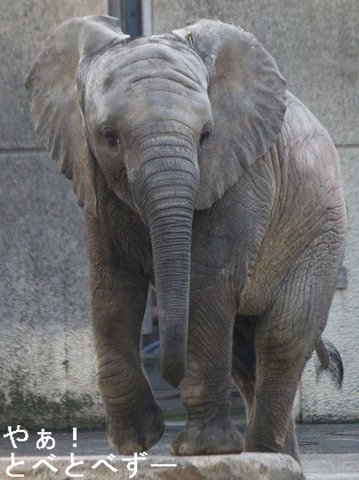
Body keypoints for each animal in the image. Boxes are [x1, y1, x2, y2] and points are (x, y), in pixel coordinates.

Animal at [25, 16, 346, 464]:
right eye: (109, 136)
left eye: (206, 135)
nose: (167, 369)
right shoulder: (94, 180)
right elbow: (111, 284)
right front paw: (135, 442)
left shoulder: (243, 174)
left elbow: (209, 279)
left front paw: (202, 449)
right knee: (245, 357)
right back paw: (276, 461)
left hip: (322, 235)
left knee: (283, 337)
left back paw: (263, 455)